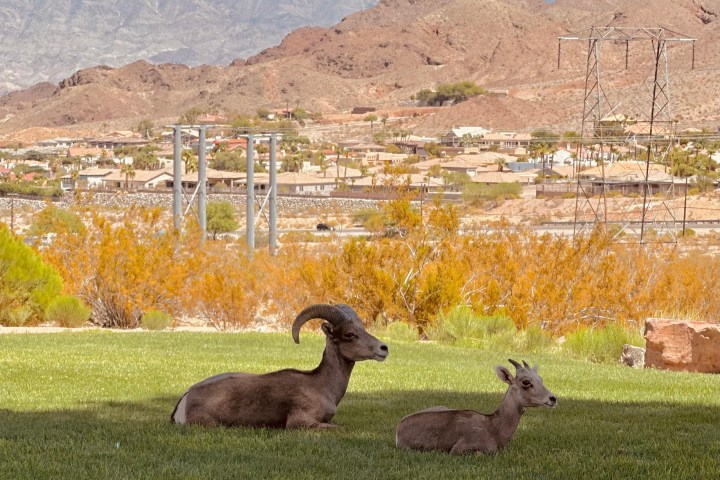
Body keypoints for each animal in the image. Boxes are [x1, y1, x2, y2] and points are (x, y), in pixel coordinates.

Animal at [395, 359, 556, 454]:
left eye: (540, 379)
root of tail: (398, 430)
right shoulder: (460, 449)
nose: (553, 398)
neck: (494, 431)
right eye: (526, 382)